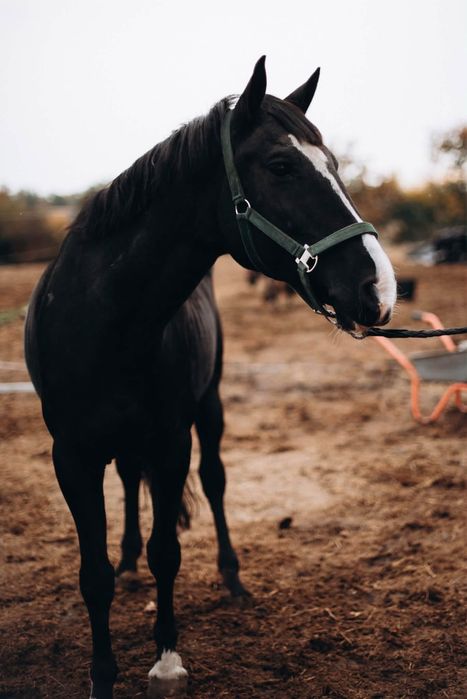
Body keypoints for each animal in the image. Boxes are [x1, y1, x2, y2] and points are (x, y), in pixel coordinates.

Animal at [24, 56, 397, 698]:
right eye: (281, 166)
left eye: (334, 164)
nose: (380, 288)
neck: (103, 320)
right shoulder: (71, 455)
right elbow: (94, 574)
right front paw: (102, 675)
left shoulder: (172, 440)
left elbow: (167, 550)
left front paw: (167, 661)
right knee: (130, 483)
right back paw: (129, 563)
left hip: (210, 409)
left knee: (216, 482)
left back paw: (232, 577)